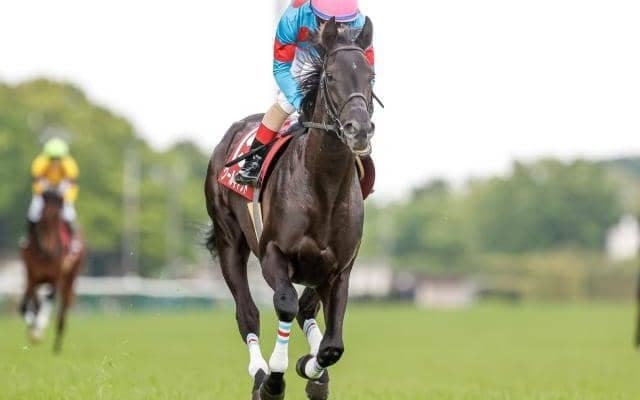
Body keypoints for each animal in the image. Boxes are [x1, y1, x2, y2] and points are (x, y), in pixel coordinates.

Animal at [20, 189, 85, 353]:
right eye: (41, 219)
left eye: (57, 219)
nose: (47, 249)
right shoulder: (31, 275)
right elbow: (26, 305)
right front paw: (34, 330)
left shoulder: (56, 277)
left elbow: (47, 300)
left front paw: (38, 329)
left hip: (70, 277)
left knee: (63, 307)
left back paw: (57, 344)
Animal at [204, 17, 375, 400]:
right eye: (330, 76)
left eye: (370, 76)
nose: (358, 129)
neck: (323, 187)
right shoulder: (273, 254)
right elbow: (284, 303)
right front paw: (275, 379)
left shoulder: (340, 269)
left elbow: (331, 346)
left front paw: (311, 370)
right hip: (229, 240)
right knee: (248, 313)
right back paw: (259, 373)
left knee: (307, 310)